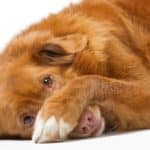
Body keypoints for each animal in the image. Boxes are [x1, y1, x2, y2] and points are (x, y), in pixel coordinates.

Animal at [0, 0, 150, 143]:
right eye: (27, 119)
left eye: (47, 80)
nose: (86, 123)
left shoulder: (144, 84)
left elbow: (89, 80)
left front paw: (55, 114)